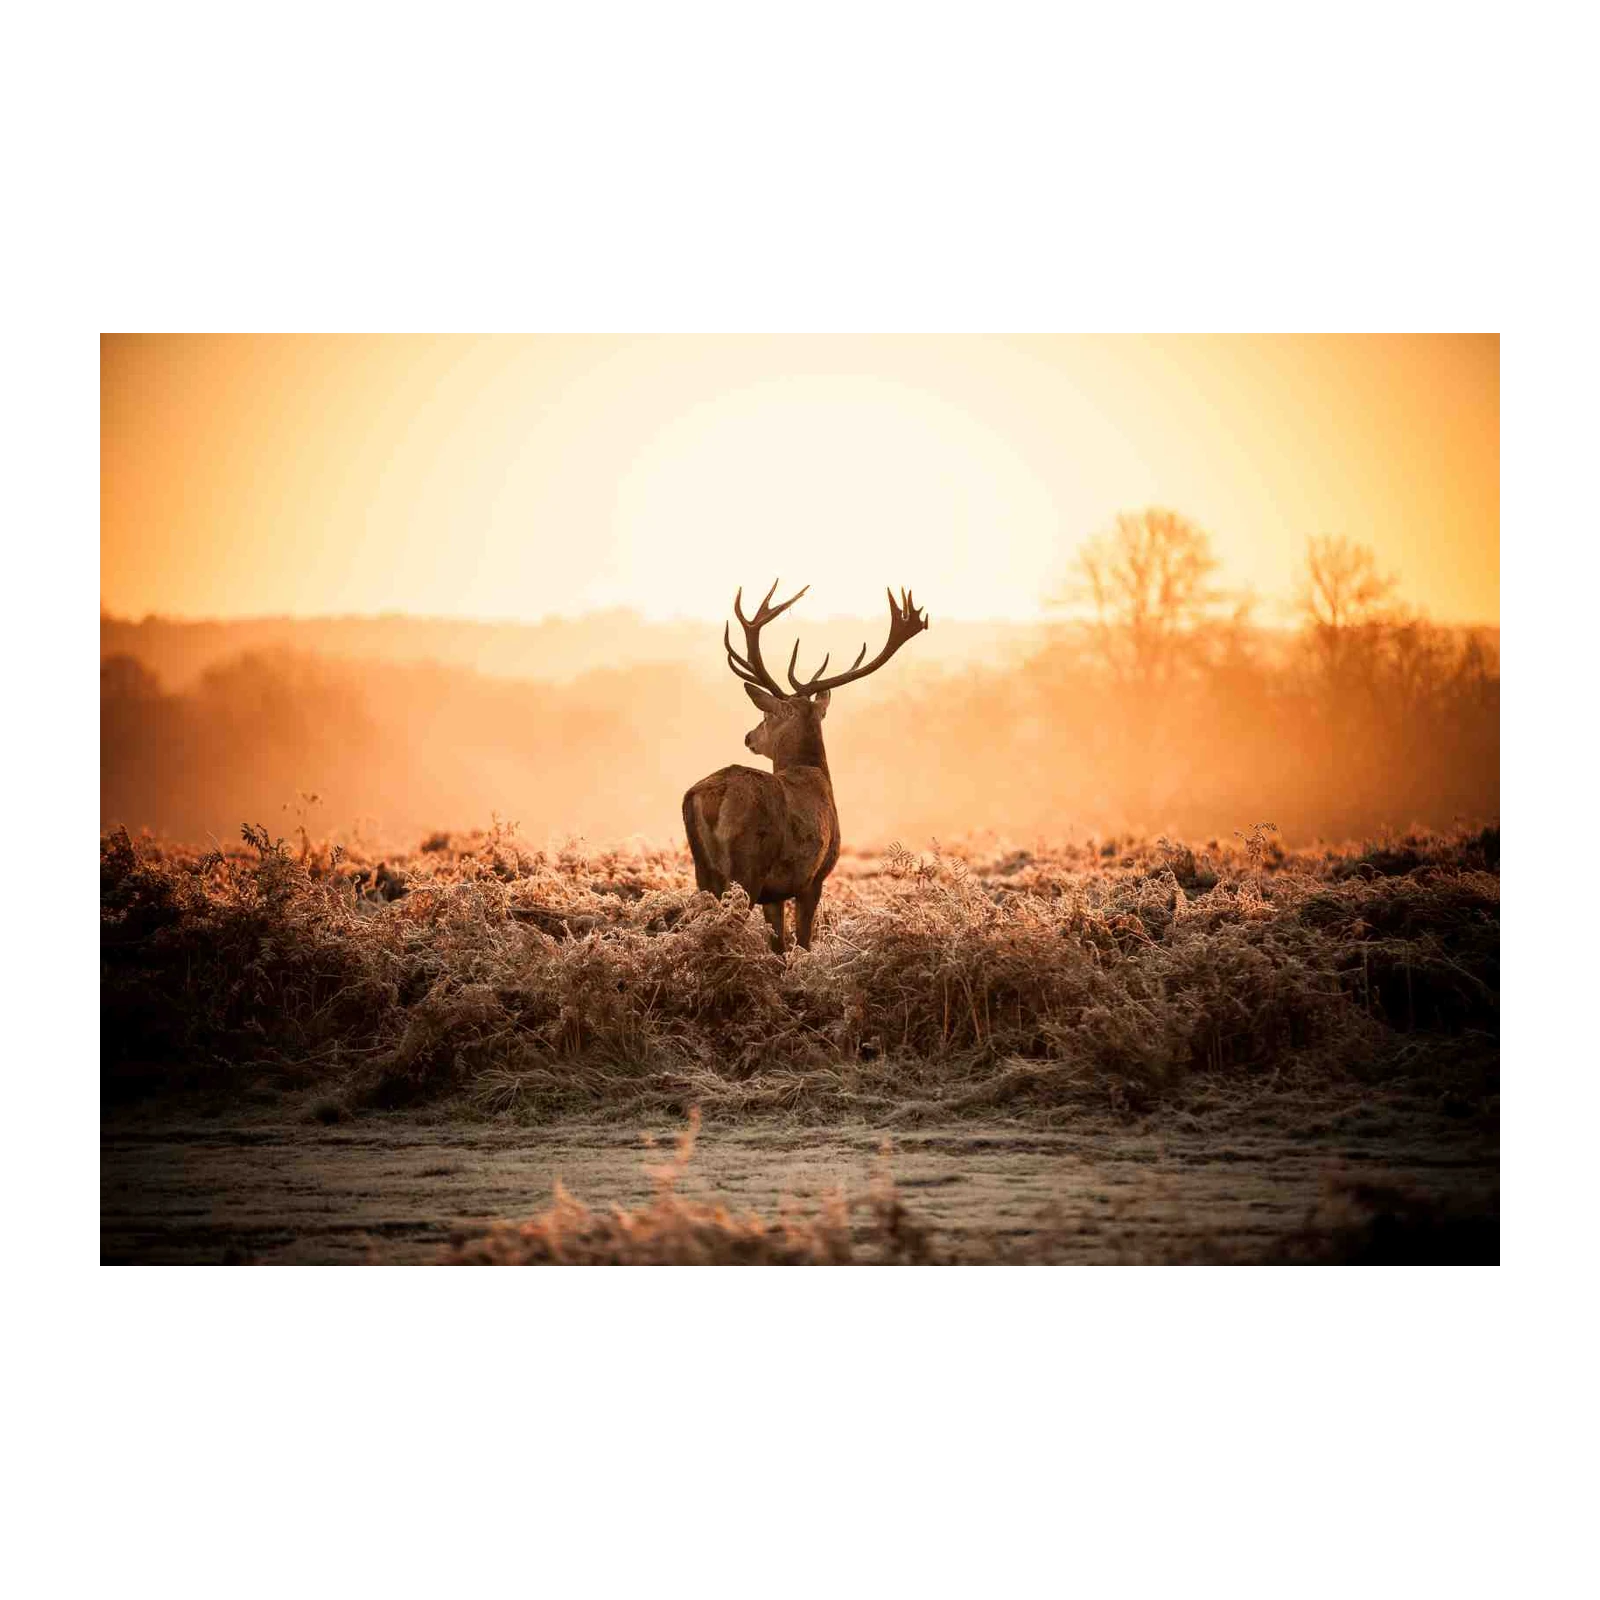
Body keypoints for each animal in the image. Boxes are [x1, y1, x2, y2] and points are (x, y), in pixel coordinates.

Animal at [682, 580, 929, 955]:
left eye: (766, 715)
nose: (749, 736)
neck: (813, 773)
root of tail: (714, 795)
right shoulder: (814, 877)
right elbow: (803, 942)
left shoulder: (775, 894)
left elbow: (779, 945)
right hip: (748, 866)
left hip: (703, 868)